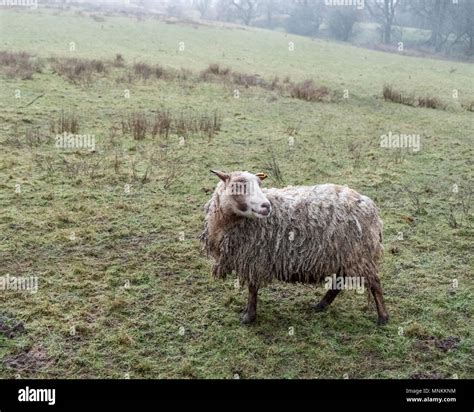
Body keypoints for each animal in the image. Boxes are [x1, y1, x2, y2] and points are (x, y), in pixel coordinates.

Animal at [200, 170, 388, 326]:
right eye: (238, 185)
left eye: (259, 185)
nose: (266, 206)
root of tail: (370, 206)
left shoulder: (254, 258)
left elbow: (252, 289)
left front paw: (248, 317)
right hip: (343, 254)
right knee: (338, 283)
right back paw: (321, 305)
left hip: (359, 253)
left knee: (374, 283)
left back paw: (383, 318)